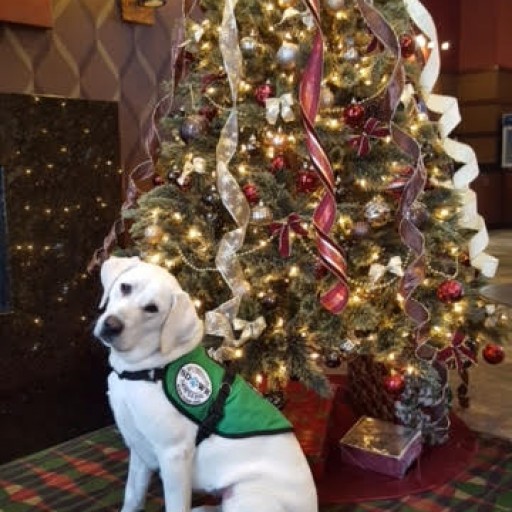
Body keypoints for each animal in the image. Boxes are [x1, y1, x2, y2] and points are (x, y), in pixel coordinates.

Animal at [92, 256, 316, 512]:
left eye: (152, 308)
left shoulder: (174, 456)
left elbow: (175, 506)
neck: (144, 370)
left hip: (246, 496)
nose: (111, 325)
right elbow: (132, 497)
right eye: (125, 287)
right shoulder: (139, 450)